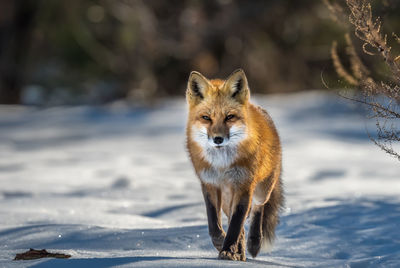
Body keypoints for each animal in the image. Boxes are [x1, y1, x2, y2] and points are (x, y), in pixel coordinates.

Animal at [185, 68, 282, 260]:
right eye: (206, 118)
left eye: (229, 117)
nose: (218, 139)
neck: (222, 164)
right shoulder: (209, 184)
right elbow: (214, 224)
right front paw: (222, 244)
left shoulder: (244, 185)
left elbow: (236, 224)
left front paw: (228, 250)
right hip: (226, 199)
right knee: (236, 221)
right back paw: (241, 252)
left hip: (262, 190)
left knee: (257, 209)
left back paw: (253, 243)